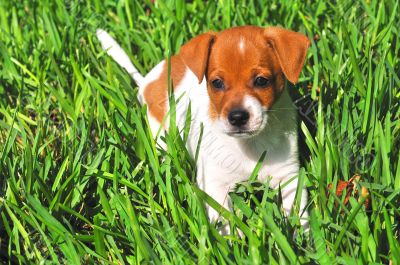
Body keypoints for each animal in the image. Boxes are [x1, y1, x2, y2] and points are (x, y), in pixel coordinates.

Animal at [97, 25, 310, 232]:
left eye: (261, 81)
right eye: (217, 83)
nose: (237, 117)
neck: (249, 145)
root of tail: (147, 82)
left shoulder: (289, 177)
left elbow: (299, 216)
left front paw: (302, 239)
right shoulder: (214, 184)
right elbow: (227, 224)